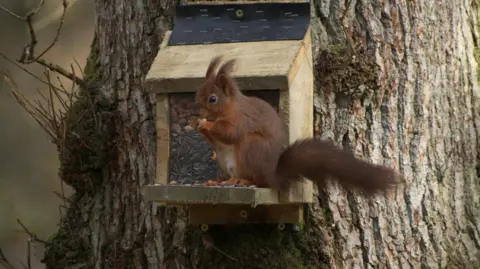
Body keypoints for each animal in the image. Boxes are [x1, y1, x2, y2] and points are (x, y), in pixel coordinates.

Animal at [194, 55, 398, 194]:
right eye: (198, 93)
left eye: (212, 99)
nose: (201, 113)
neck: (229, 107)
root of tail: (272, 175)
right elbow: (216, 141)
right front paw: (199, 126)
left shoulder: (242, 119)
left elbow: (231, 133)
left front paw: (206, 125)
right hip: (225, 159)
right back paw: (218, 180)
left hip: (252, 146)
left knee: (258, 180)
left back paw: (244, 181)